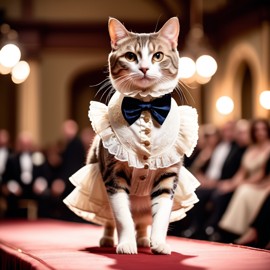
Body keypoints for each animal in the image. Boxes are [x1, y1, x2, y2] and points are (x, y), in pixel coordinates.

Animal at [62, 17, 199, 255]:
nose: (144, 68)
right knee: (109, 219)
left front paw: (158, 243)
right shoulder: (113, 174)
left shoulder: (168, 176)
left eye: (158, 56)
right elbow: (122, 217)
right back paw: (108, 239)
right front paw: (126, 243)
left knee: (143, 222)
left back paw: (144, 239)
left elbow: (161, 215)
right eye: (130, 56)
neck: (145, 106)